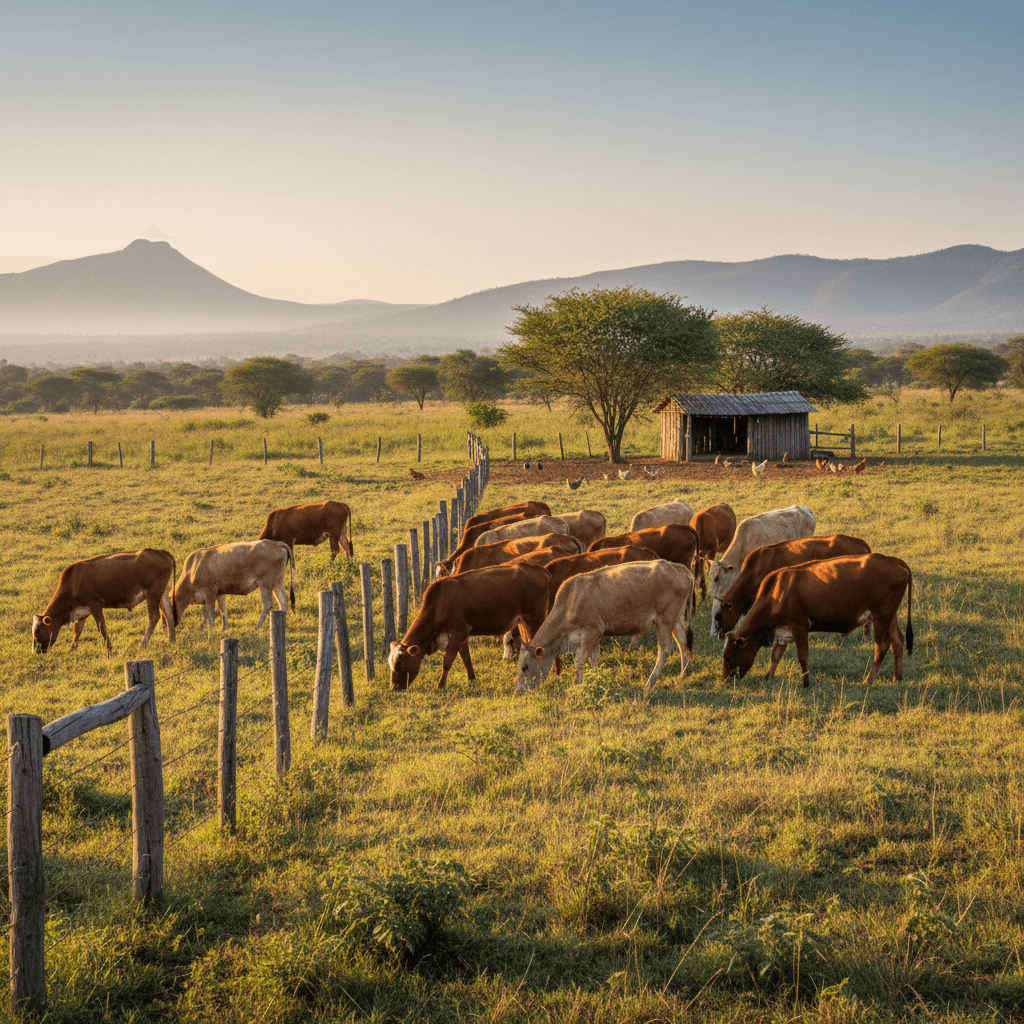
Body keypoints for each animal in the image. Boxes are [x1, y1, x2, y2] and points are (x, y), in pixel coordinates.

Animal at [32, 549, 177, 654]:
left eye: (39, 631)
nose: (36, 652)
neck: (73, 581)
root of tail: (160, 551)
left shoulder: (95, 605)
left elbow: (102, 628)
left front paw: (109, 650)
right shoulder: (83, 610)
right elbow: (77, 629)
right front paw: (72, 649)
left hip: (152, 593)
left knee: (154, 617)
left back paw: (143, 645)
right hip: (161, 593)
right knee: (169, 614)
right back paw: (171, 640)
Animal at [388, 563, 552, 690]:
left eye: (399, 665)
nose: (394, 688)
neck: (439, 604)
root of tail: (541, 570)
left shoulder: (457, 634)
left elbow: (447, 662)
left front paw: (440, 686)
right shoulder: (462, 637)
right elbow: (466, 659)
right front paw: (472, 680)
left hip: (535, 620)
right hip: (524, 623)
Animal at [515, 560, 694, 693]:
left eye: (524, 667)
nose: (519, 691)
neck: (571, 601)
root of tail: (681, 568)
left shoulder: (591, 631)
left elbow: (581, 661)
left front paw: (577, 684)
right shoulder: (588, 638)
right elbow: (593, 660)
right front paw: (595, 681)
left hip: (664, 621)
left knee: (665, 649)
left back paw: (650, 681)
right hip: (676, 618)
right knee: (683, 643)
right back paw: (683, 674)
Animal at [722, 553, 913, 687]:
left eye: (728, 657)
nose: (725, 680)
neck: (777, 592)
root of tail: (895, 561)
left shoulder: (799, 626)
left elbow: (802, 656)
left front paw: (806, 682)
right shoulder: (783, 631)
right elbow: (775, 655)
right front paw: (768, 676)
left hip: (881, 616)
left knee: (882, 646)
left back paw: (869, 679)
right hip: (890, 616)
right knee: (897, 641)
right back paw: (897, 677)